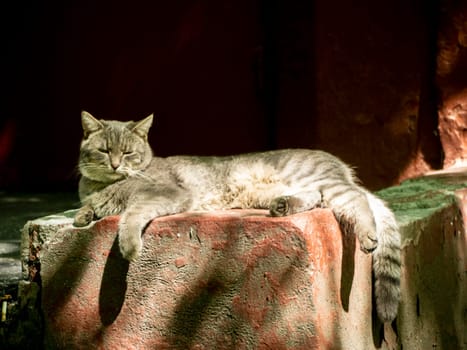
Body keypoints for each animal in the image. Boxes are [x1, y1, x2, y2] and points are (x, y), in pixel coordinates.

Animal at [74, 110, 402, 322]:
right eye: (104, 150)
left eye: (128, 153)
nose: (116, 164)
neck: (106, 185)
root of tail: (339, 163)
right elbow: (86, 207)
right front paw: (83, 215)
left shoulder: (164, 194)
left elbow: (131, 215)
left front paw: (128, 244)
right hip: (293, 188)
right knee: (316, 199)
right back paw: (284, 206)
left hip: (324, 182)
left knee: (358, 199)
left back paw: (368, 236)